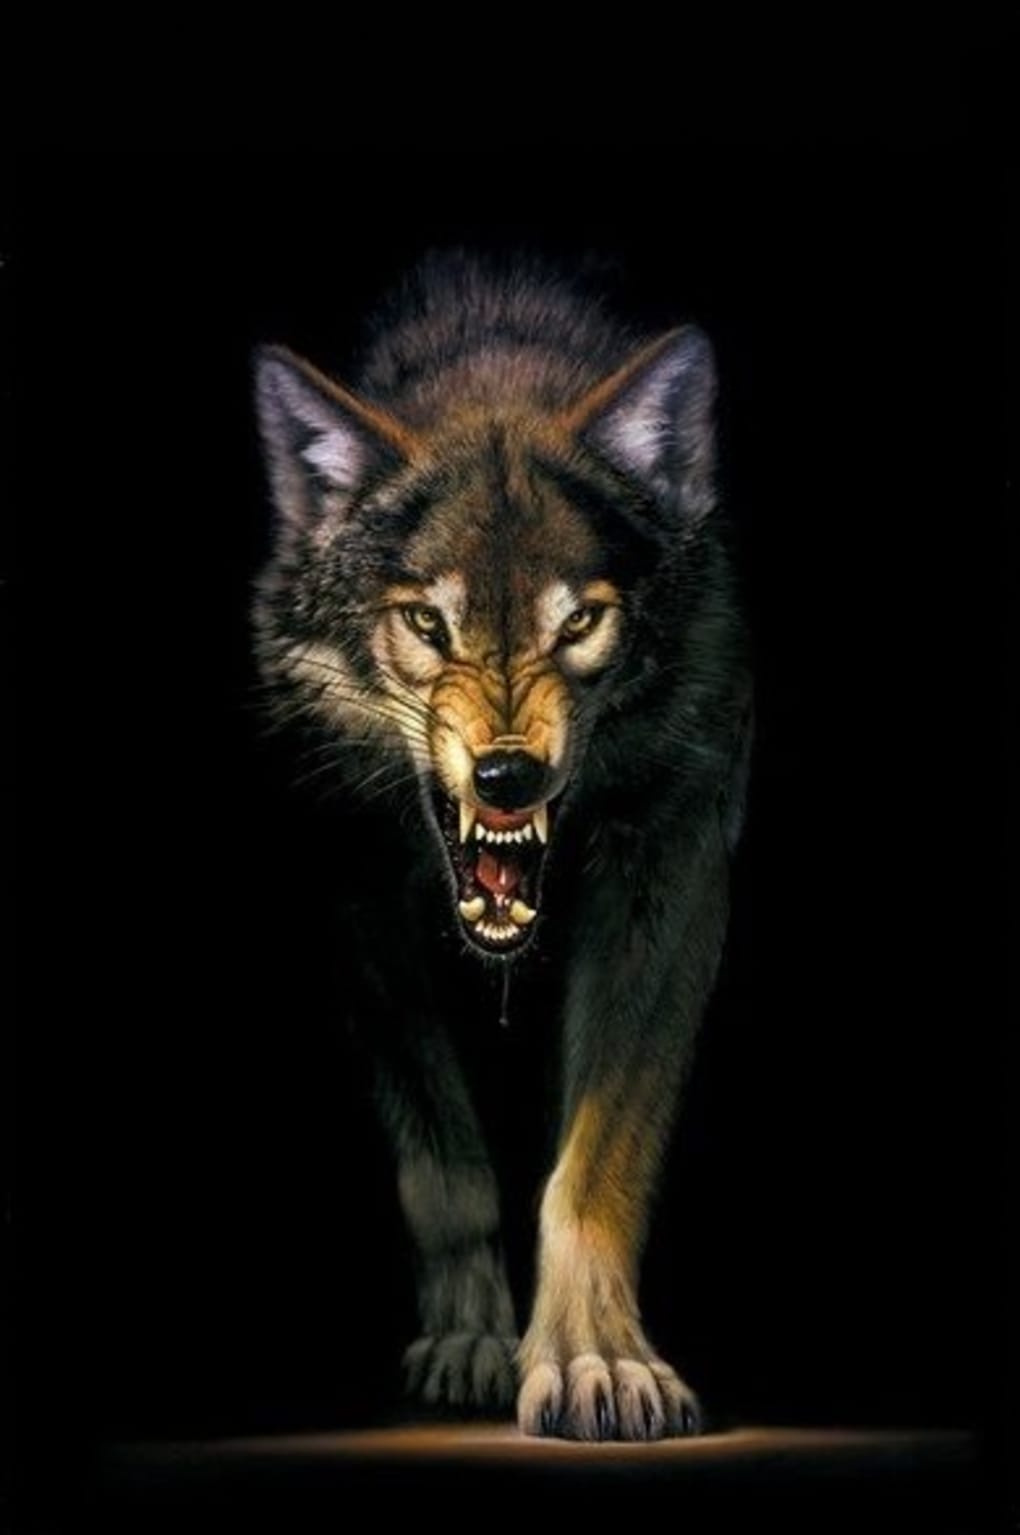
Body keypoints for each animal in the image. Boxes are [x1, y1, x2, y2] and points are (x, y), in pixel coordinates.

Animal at [252, 252, 752, 1440]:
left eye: (579, 623)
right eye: (428, 625)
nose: (507, 779)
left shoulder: (673, 871)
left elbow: (596, 1161)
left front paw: (597, 1360)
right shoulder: (356, 894)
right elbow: (447, 1165)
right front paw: (473, 1341)